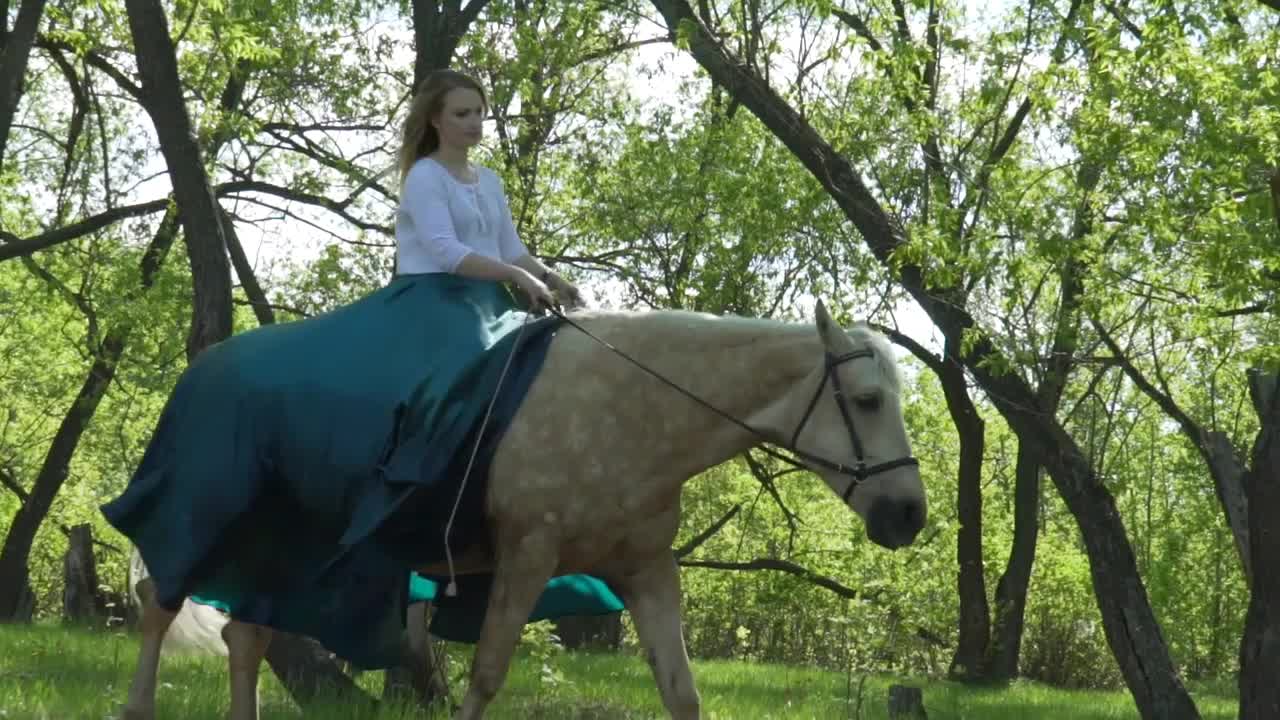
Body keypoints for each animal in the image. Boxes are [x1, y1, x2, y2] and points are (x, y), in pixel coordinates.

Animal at [115, 297, 926, 717]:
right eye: (866, 400)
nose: (910, 515)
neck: (636, 411)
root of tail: (204, 367)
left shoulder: (647, 571)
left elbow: (683, 692)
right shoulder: (526, 560)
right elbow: (485, 677)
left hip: (286, 552)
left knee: (245, 639)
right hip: (208, 521)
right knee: (161, 606)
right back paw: (138, 705)